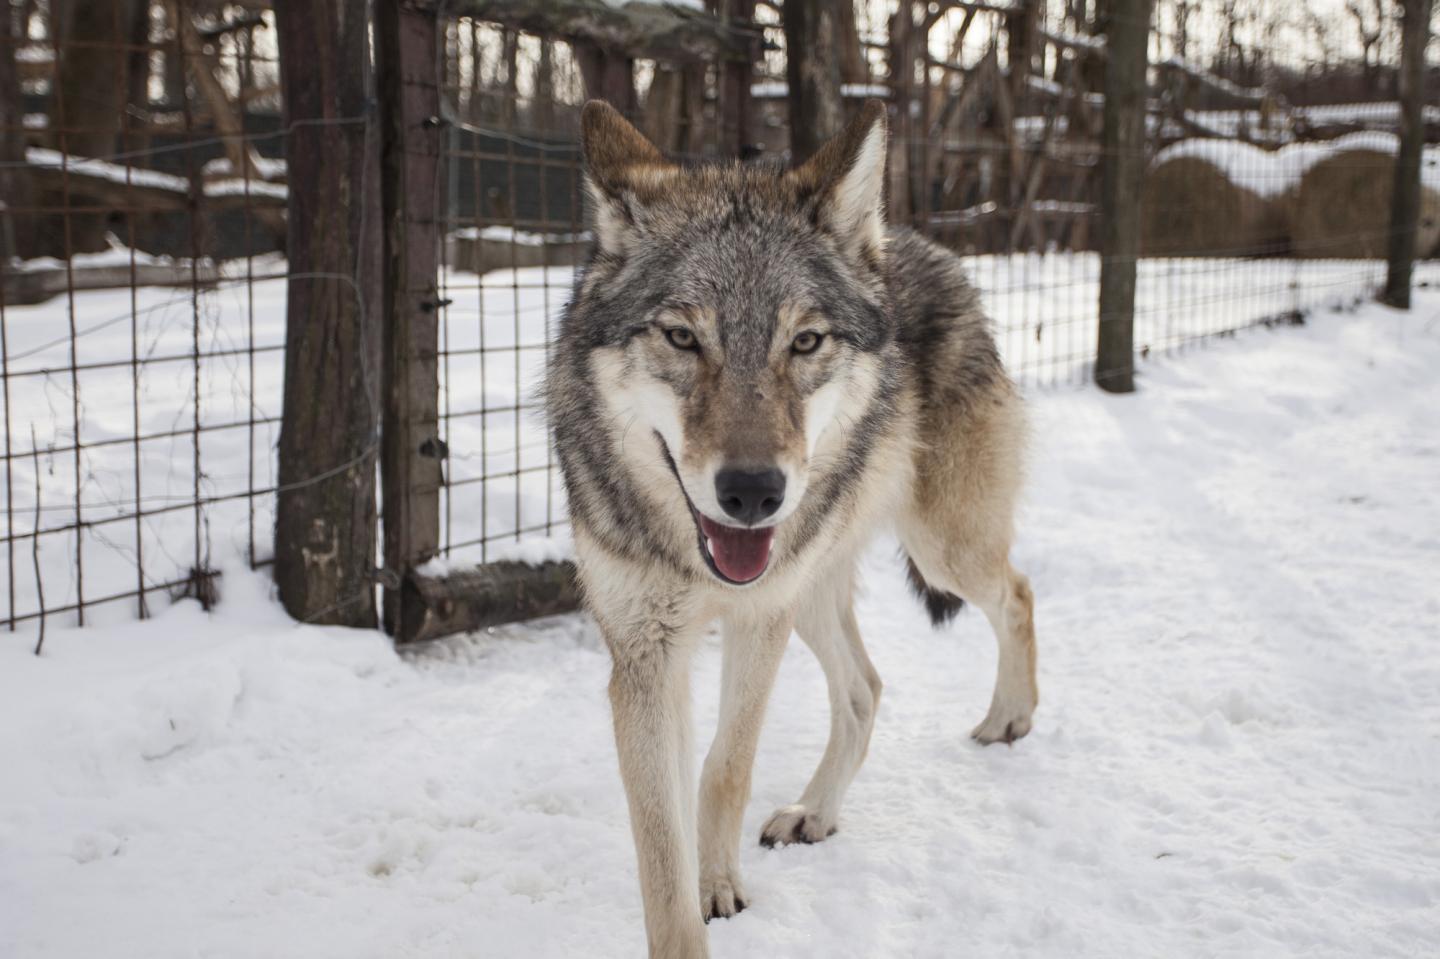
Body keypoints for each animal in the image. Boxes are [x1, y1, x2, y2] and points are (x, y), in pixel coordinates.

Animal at [546, 99, 1038, 958]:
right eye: (683, 337)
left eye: (804, 341)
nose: (752, 492)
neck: (696, 562)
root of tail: (914, 242)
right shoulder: (644, 652)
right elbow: (659, 834)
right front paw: (687, 909)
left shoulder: (756, 618)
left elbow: (724, 768)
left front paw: (718, 885)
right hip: (811, 590)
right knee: (867, 688)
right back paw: (816, 811)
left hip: (937, 551)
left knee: (1017, 591)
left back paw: (1011, 717)